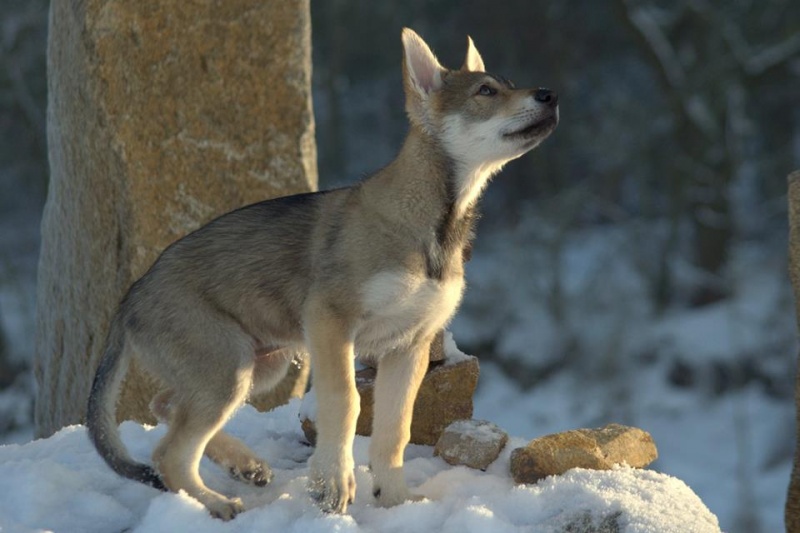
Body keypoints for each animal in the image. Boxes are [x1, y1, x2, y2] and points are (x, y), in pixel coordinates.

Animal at [86, 27, 556, 516]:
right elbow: (345, 403)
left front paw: (395, 499)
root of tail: (129, 298)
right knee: (168, 453)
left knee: (164, 404)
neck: (434, 225)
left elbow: (395, 430)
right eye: (486, 91)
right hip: (228, 371)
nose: (550, 95)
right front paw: (332, 485)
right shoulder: (332, 323)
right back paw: (215, 505)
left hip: (258, 367)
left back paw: (244, 465)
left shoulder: (409, 345)